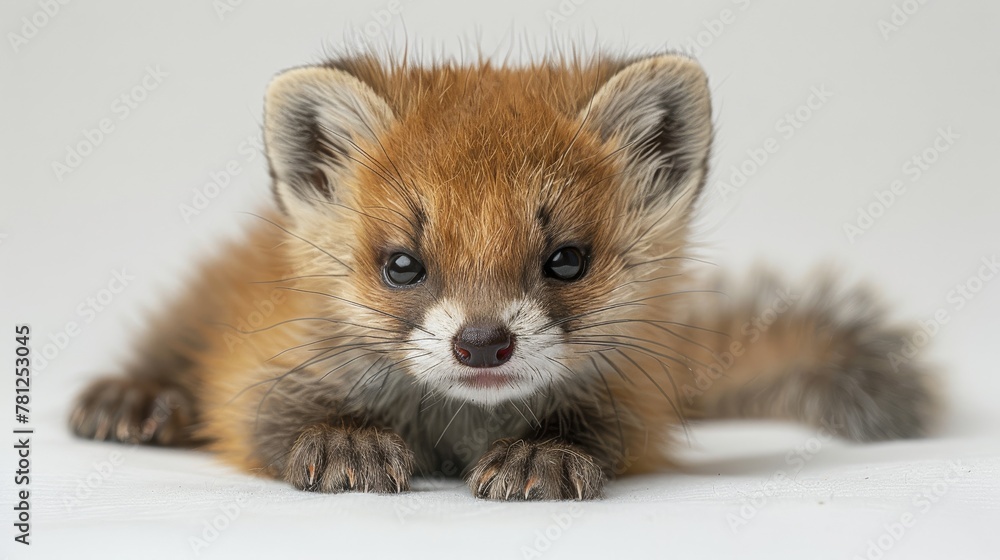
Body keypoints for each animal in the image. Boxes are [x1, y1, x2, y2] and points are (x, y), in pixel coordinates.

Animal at [70, 52, 936, 498]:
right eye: (402, 263)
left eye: (566, 258)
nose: (482, 344)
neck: (453, 433)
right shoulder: (255, 374)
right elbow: (275, 420)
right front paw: (350, 442)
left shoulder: (635, 403)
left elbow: (589, 431)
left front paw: (536, 457)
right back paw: (133, 401)